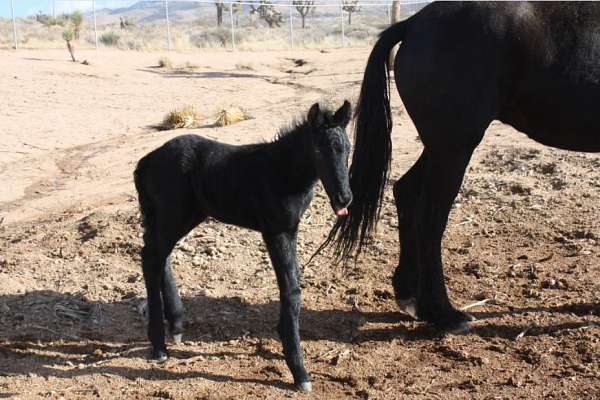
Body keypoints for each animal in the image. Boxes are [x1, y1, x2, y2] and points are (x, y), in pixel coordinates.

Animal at [132, 101, 352, 392]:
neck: (282, 171)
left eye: (347, 147)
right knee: (151, 256)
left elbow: (292, 284)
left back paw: (176, 325)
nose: (344, 198)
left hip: (183, 215)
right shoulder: (275, 232)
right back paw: (159, 346)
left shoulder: (291, 230)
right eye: (318, 149)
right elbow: (291, 291)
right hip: (174, 214)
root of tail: (146, 161)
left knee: (159, 254)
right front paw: (299, 370)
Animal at [328, 3, 600, 332]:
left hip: (441, 147)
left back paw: (410, 295)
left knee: (406, 192)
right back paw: (443, 313)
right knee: (430, 220)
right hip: (453, 148)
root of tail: (415, 24)